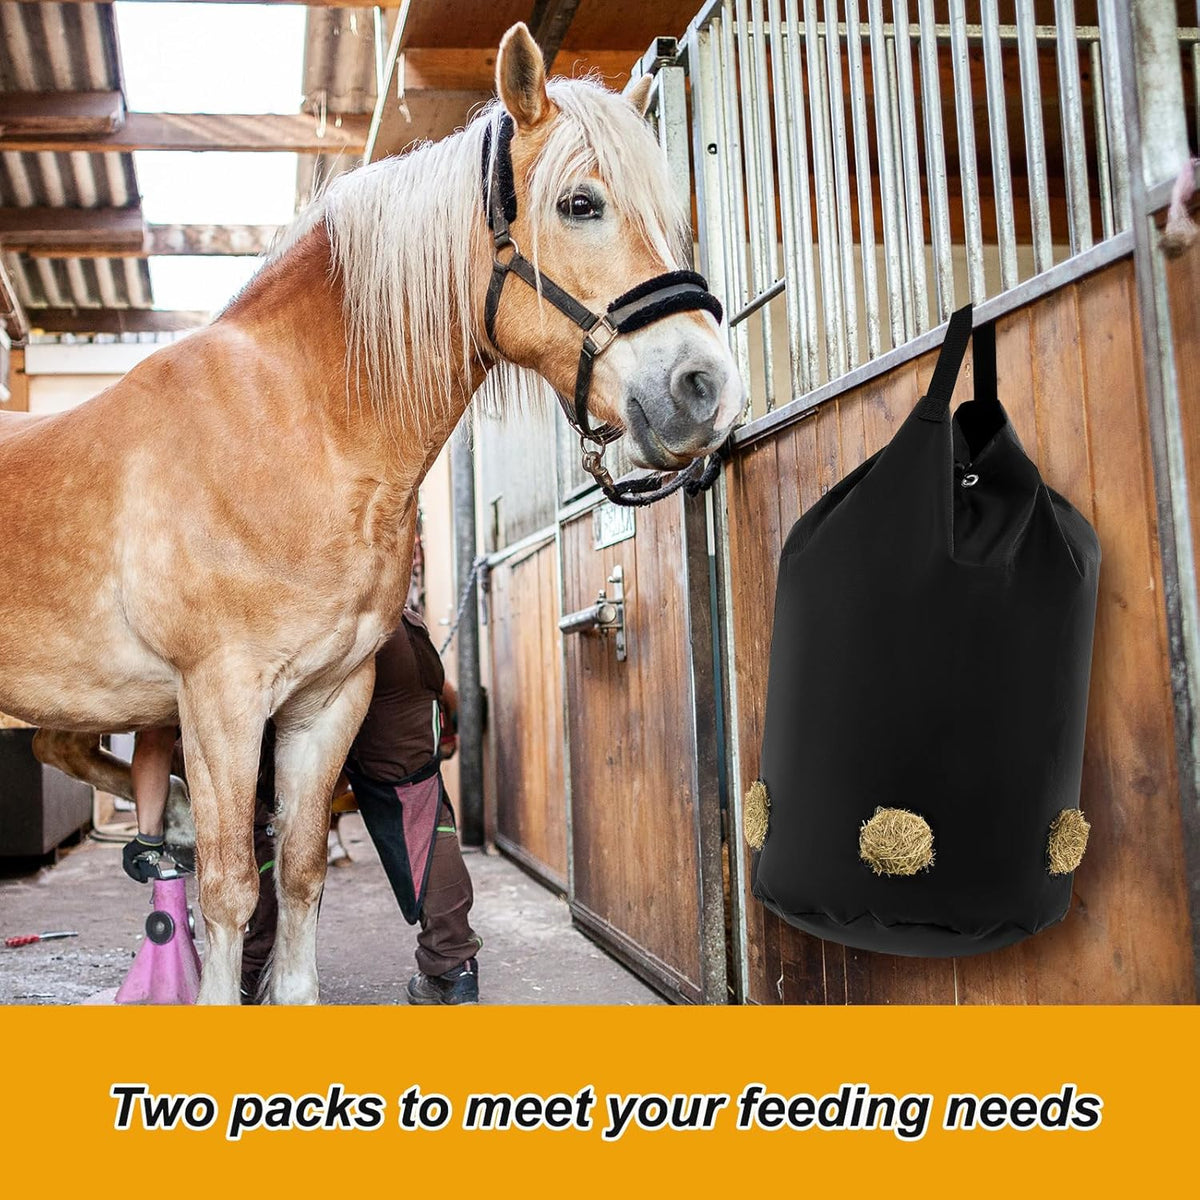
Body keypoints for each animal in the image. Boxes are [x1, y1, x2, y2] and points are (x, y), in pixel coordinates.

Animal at [0, 23, 744, 1004]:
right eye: (580, 203)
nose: (707, 388)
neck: (290, 426)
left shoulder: (326, 701)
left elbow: (301, 866)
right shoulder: (221, 699)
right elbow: (231, 886)